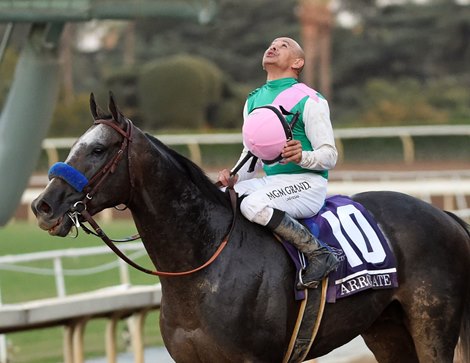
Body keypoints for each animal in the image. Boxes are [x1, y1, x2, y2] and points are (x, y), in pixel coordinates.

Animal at [31, 94, 468, 363]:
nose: (43, 206)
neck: (204, 263)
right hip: (386, 329)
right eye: (74, 145)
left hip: (432, 326)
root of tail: (445, 215)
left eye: (98, 149)